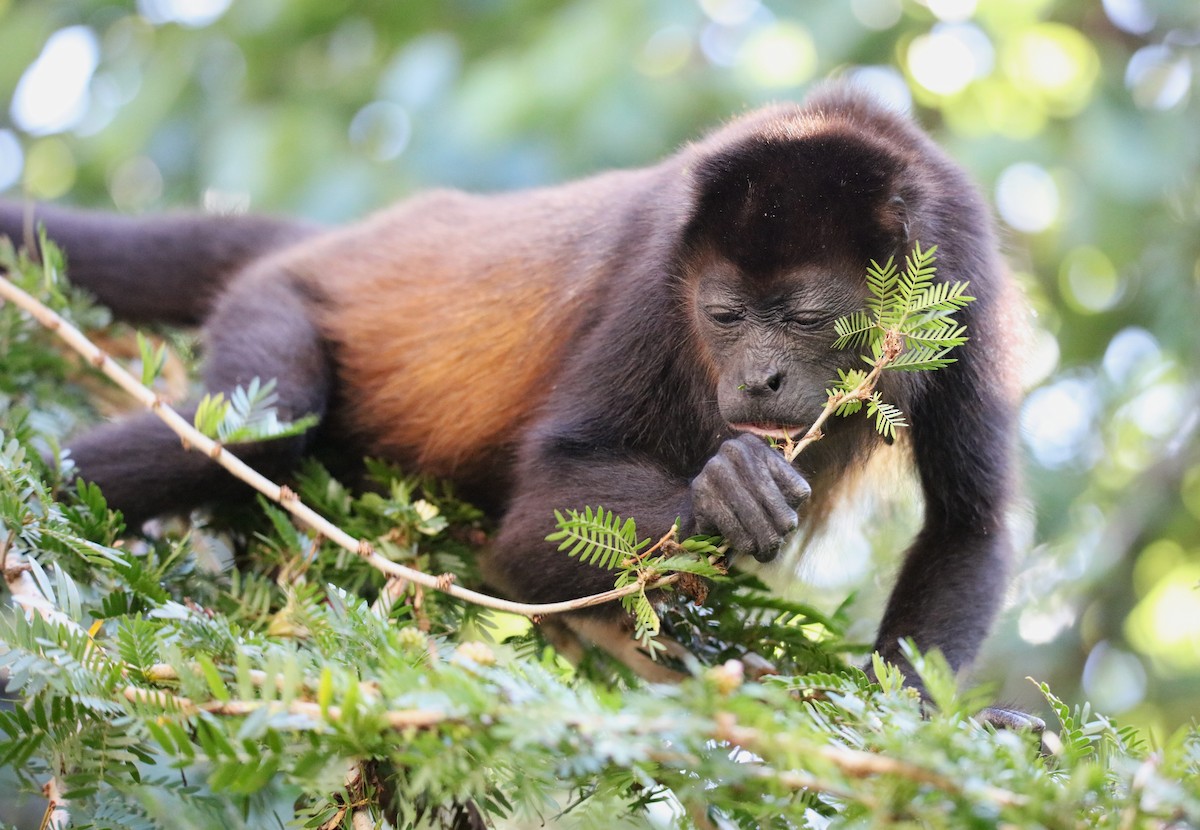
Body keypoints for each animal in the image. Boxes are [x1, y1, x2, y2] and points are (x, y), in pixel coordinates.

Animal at [0, 85, 1040, 729]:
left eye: (806, 318)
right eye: (725, 316)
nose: (756, 382)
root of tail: (336, 240)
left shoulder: (966, 277)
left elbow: (971, 524)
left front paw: (929, 728)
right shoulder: (652, 278)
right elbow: (537, 513)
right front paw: (720, 494)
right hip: (277, 299)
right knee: (265, 424)